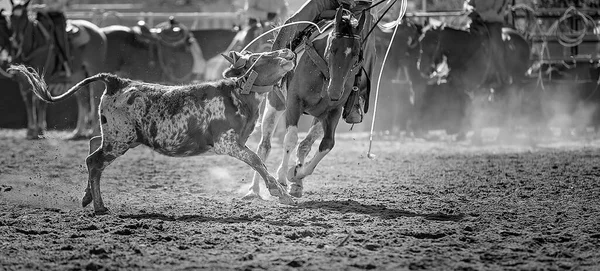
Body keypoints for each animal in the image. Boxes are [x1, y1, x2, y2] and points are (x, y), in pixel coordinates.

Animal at [7, 0, 106, 140]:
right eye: (11, 17)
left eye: (24, 18)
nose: (16, 41)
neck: (34, 44)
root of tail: (98, 31)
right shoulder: (22, 80)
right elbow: (28, 101)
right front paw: (30, 130)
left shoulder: (46, 75)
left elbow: (40, 101)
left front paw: (40, 129)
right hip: (78, 74)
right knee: (82, 98)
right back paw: (78, 131)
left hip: (93, 68)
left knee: (94, 96)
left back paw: (94, 131)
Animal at [10, 48, 296, 215]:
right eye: (262, 56)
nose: (288, 51)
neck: (237, 94)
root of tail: (117, 81)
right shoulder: (227, 142)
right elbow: (257, 160)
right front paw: (281, 194)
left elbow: (257, 161)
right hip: (120, 140)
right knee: (94, 161)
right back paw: (100, 207)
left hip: (118, 136)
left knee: (93, 145)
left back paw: (86, 197)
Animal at [243, 7, 366, 201]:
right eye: (332, 48)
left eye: (355, 53)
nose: (334, 92)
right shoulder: (294, 103)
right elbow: (290, 139)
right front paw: (282, 177)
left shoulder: (334, 110)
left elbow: (327, 144)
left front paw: (296, 173)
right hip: (275, 103)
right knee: (265, 146)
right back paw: (254, 190)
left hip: (319, 116)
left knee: (305, 145)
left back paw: (297, 184)